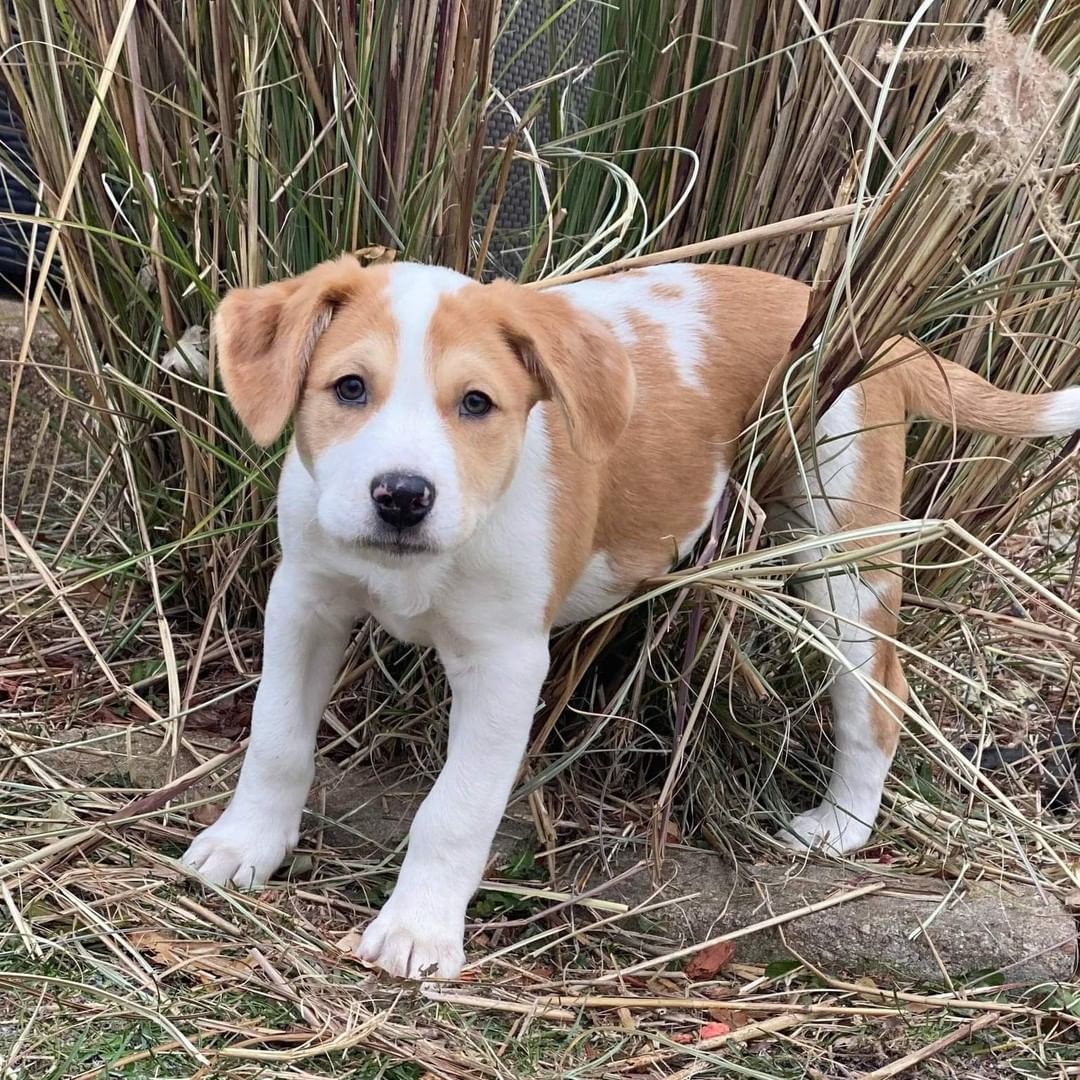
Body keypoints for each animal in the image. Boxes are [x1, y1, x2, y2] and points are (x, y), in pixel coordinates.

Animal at [181, 257, 1075, 984]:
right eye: (349, 389)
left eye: (477, 404)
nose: (402, 496)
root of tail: (871, 329)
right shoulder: (305, 604)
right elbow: (276, 739)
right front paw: (246, 844)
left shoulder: (505, 664)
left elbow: (456, 807)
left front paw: (418, 930)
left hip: (840, 548)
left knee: (877, 693)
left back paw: (842, 826)